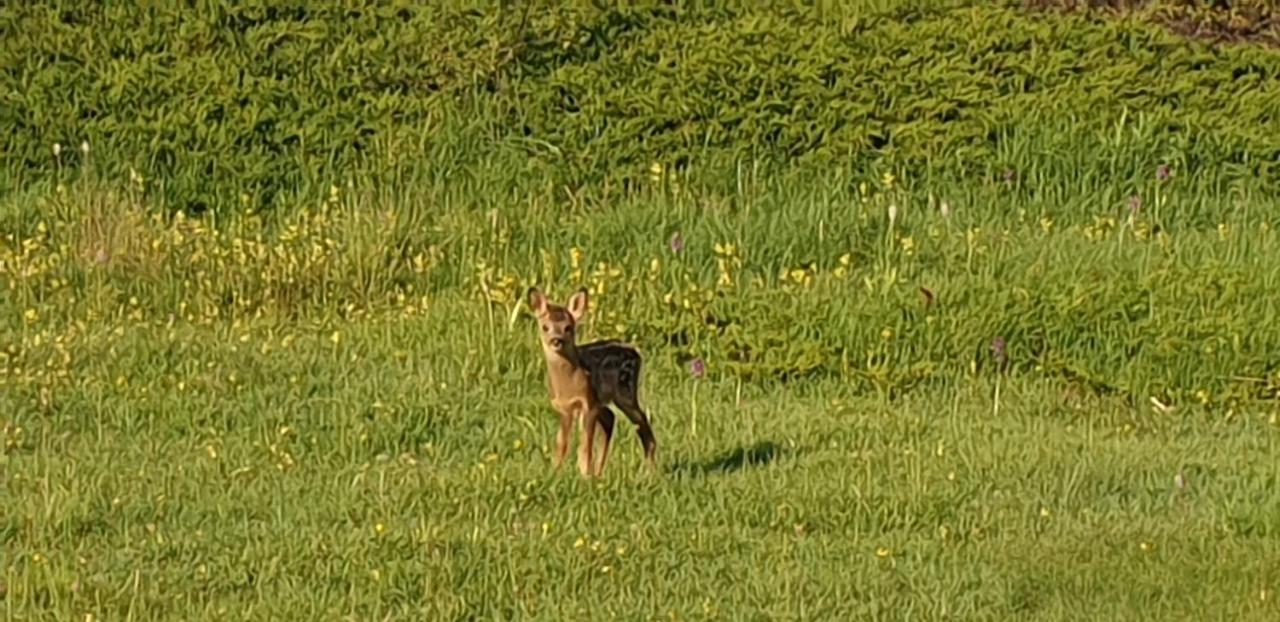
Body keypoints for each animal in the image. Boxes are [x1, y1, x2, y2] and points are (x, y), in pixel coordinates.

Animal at [527, 286, 660, 476]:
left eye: (568, 327)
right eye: (545, 327)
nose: (556, 340)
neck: (569, 383)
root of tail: (636, 352)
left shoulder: (588, 403)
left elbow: (585, 445)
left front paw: (584, 474)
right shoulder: (564, 407)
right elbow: (561, 444)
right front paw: (555, 472)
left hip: (625, 391)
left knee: (642, 422)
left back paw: (650, 470)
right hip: (605, 400)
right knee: (611, 418)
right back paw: (599, 472)